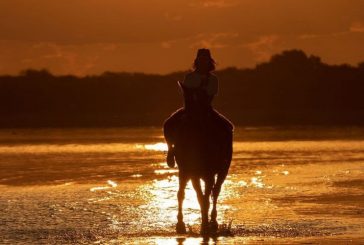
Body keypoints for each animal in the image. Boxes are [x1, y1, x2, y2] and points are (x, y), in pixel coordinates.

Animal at [171, 81, 233, 234]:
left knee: (215, 192)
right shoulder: (190, 172)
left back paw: (214, 222)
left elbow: (205, 197)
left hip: (222, 170)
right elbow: (192, 195)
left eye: (201, 101)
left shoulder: (208, 173)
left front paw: (206, 225)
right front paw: (181, 224)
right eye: (185, 101)